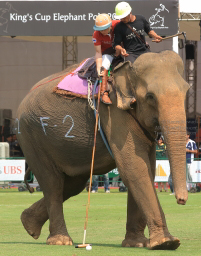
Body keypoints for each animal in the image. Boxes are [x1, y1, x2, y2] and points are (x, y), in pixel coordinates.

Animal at [16, 50, 190, 250]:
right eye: (150, 96)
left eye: (187, 91)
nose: (181, 200)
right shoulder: (113, 111)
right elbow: (133, 166)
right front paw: (166, 243)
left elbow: (147, 168)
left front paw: (136, 244)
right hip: (31, 135)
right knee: (52, 183)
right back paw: (60, 240)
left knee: (73, 184)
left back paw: (28, 224)